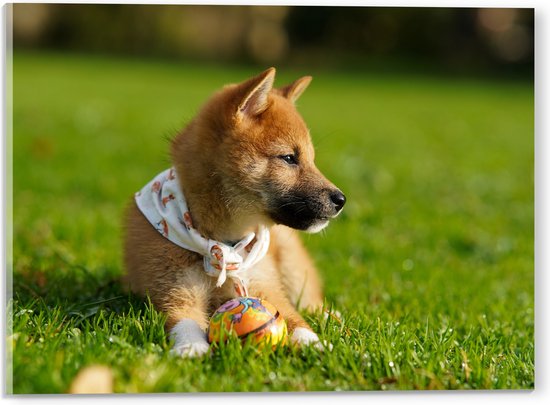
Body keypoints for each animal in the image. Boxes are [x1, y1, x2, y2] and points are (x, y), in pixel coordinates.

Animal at [125, 67, 348, 356]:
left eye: (312, 160)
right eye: (289, 158)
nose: (341, 199)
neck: (222, 242)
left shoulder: (264, 286)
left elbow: (294, 317)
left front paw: (315, 344)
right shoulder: (176, 290)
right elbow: (184, 321)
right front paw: (191, 348)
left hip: (293, 269)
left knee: (311, 303)